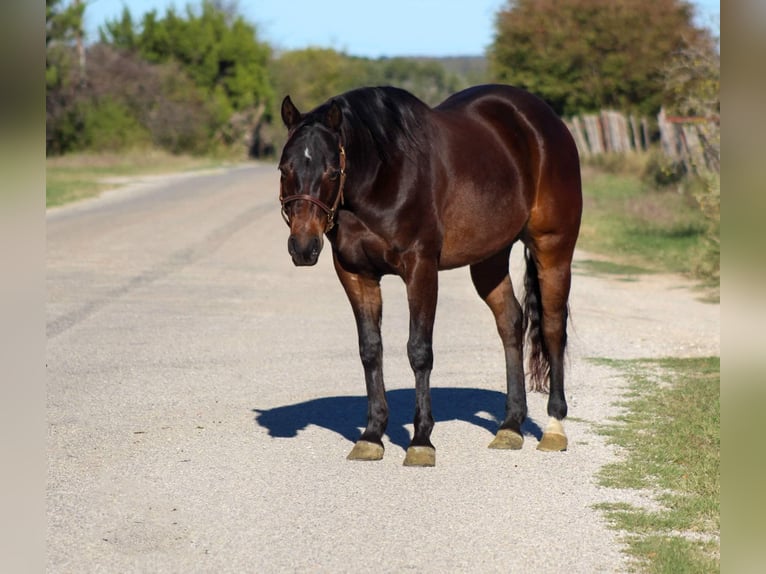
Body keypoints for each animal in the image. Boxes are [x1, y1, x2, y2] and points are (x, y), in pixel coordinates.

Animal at [277, 84, 582, 467]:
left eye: (332, 171)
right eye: (284, 168)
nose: (303, 247)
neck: (384, 175)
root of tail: (546, 122)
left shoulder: (420, 268)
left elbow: (419, 350)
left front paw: (421, 441)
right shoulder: (356, 274)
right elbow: (370, 349)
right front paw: (371, 436)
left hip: (554, 248)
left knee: (553, 328)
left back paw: (555, 427)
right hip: (490, 258)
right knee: (511, 322)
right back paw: (510, 427)